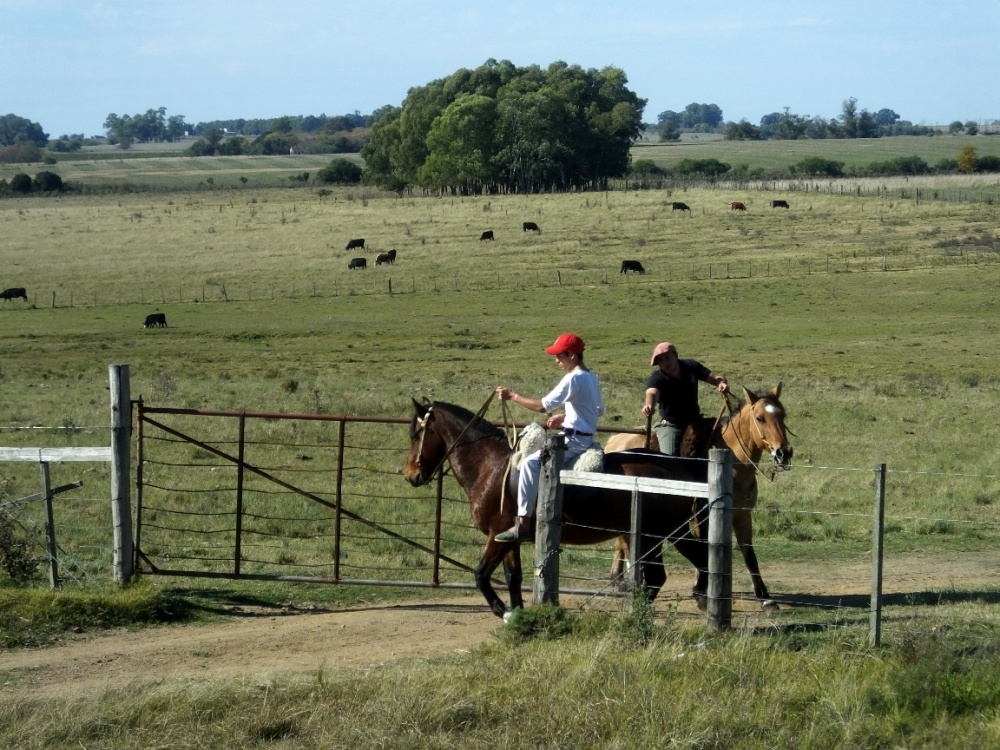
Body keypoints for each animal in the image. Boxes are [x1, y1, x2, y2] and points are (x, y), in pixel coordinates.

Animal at [406, 396, 712, 620]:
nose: (410, 475)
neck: (491, 469)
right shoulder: (508, 539)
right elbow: (513, 577)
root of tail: (680, 466)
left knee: (658, 576)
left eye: (415, 434)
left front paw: (503, 612)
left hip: (652, 536)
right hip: (672, 532)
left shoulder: (496, 535)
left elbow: (480, 576)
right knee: (697, 561)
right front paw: (518, 615)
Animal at [604, 384, 792, 608]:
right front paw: (701, 591)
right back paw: (621, 580)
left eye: (783, 415)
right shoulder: (703, 515)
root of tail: (615, 441)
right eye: (760, 418)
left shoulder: (742, 515)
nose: (783, 452)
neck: (731, 464)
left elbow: (749, 554)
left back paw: (619, 579)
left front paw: (765, 597)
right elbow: (705, 547)